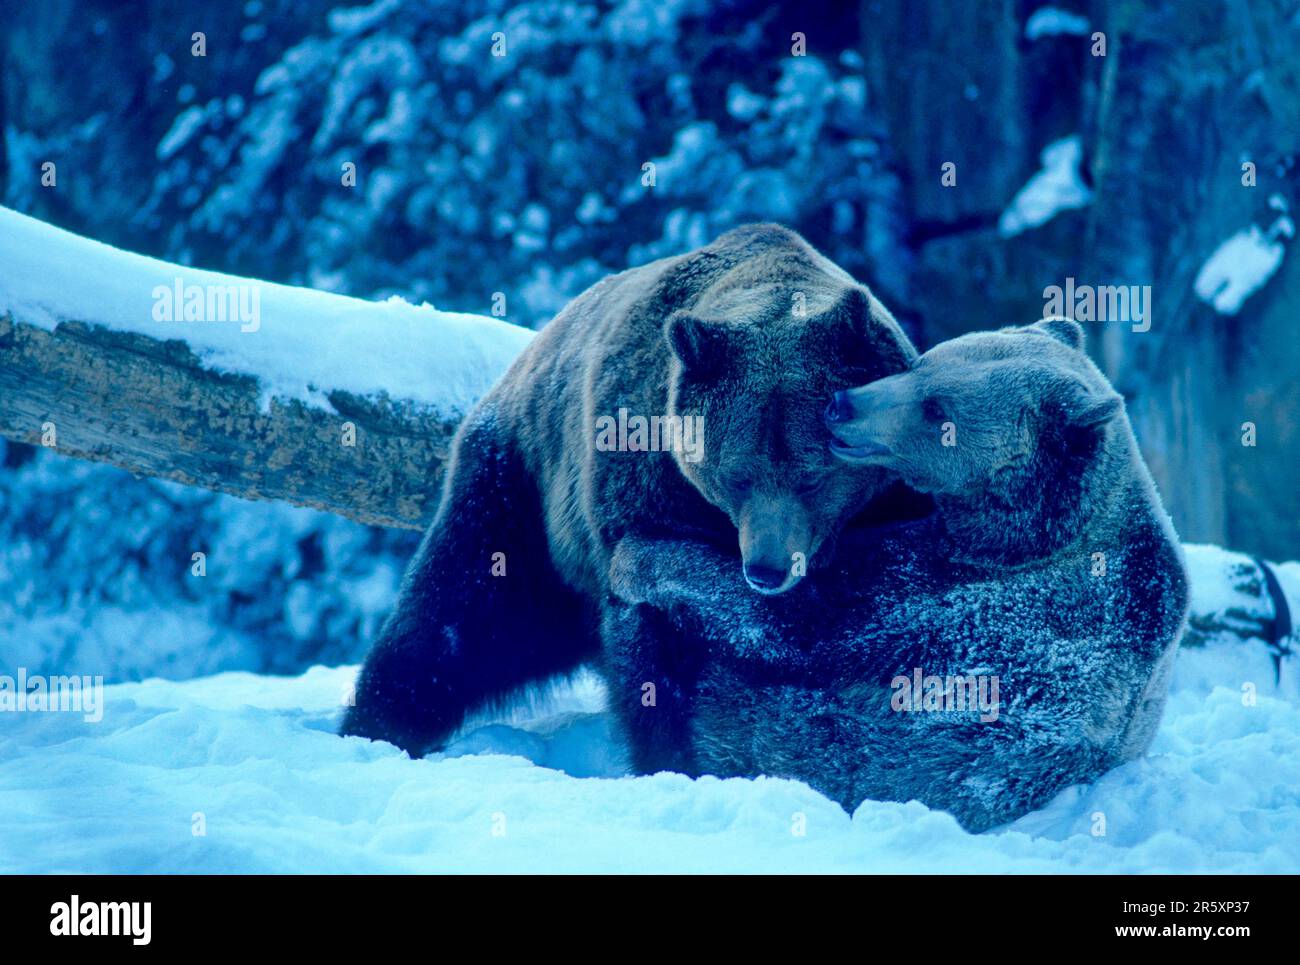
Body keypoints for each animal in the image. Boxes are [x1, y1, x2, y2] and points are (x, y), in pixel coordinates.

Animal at [340, 224, 920, 754]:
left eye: (812, 475)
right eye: (736, 475)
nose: (767, 569)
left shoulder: (892, 495)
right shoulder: (641, 486)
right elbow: (655, 651)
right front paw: (673, 752)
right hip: (518, 495)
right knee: (454, 617)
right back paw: (378, 725)